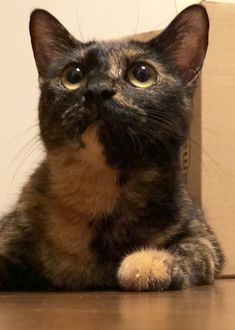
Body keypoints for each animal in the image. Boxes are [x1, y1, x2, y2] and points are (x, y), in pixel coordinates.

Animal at [0, 3, 224, 290]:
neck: (102, 186)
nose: (98, 89)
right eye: (73, 75)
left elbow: (192, 251)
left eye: (142, 74)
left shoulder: (205, 238)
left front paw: (144, 264)